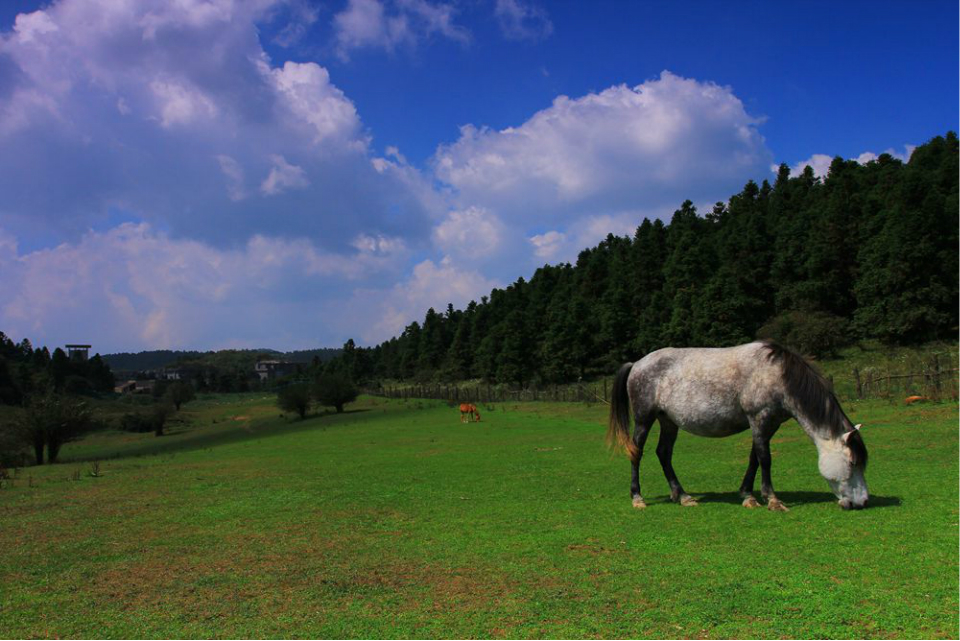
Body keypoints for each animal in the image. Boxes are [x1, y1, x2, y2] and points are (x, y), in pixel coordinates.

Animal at [608, 340, 872, 510]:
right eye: (852, 462)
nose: (863, 501)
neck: (776, 375)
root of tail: (637, 364)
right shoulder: (759, 419)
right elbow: (765, 458)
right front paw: (772, 499)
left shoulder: (768, 424)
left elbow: (754, 458)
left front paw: (748, 495)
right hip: (644, 418)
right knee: (637, 452)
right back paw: (638, 497)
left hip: (668, 421)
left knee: (663, 453)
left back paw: (682, 496)